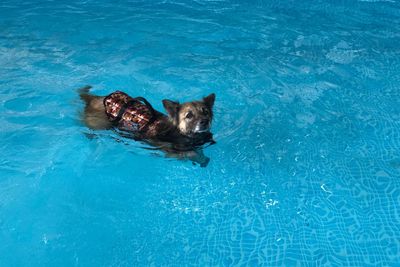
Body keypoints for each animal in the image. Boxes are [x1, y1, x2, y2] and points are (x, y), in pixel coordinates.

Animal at [78, 86, 216, 166]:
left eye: (205, 112)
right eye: (189, 115)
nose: (204, 121)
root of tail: (93, 98)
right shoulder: (168, 150)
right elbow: (189, 153)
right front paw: (199, 158)